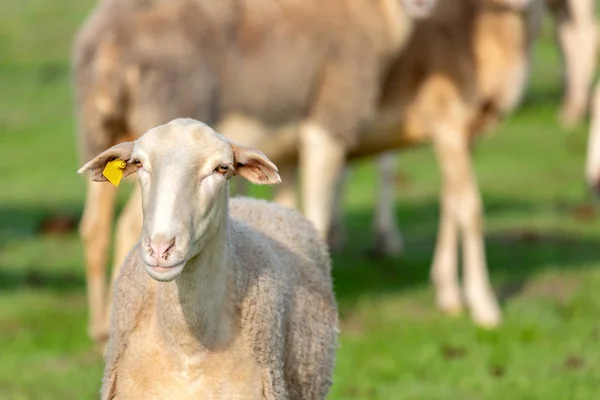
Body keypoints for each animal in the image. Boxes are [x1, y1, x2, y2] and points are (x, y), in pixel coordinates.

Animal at [71, 0, 436, 346]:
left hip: (100, 134)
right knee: (129, 225)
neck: (374, 13)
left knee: (94, 227)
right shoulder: (330, 117)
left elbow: (289, 209)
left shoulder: (287, 151)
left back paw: (100, 327)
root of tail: (108, 44)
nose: (421, 4)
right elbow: (319, 211)